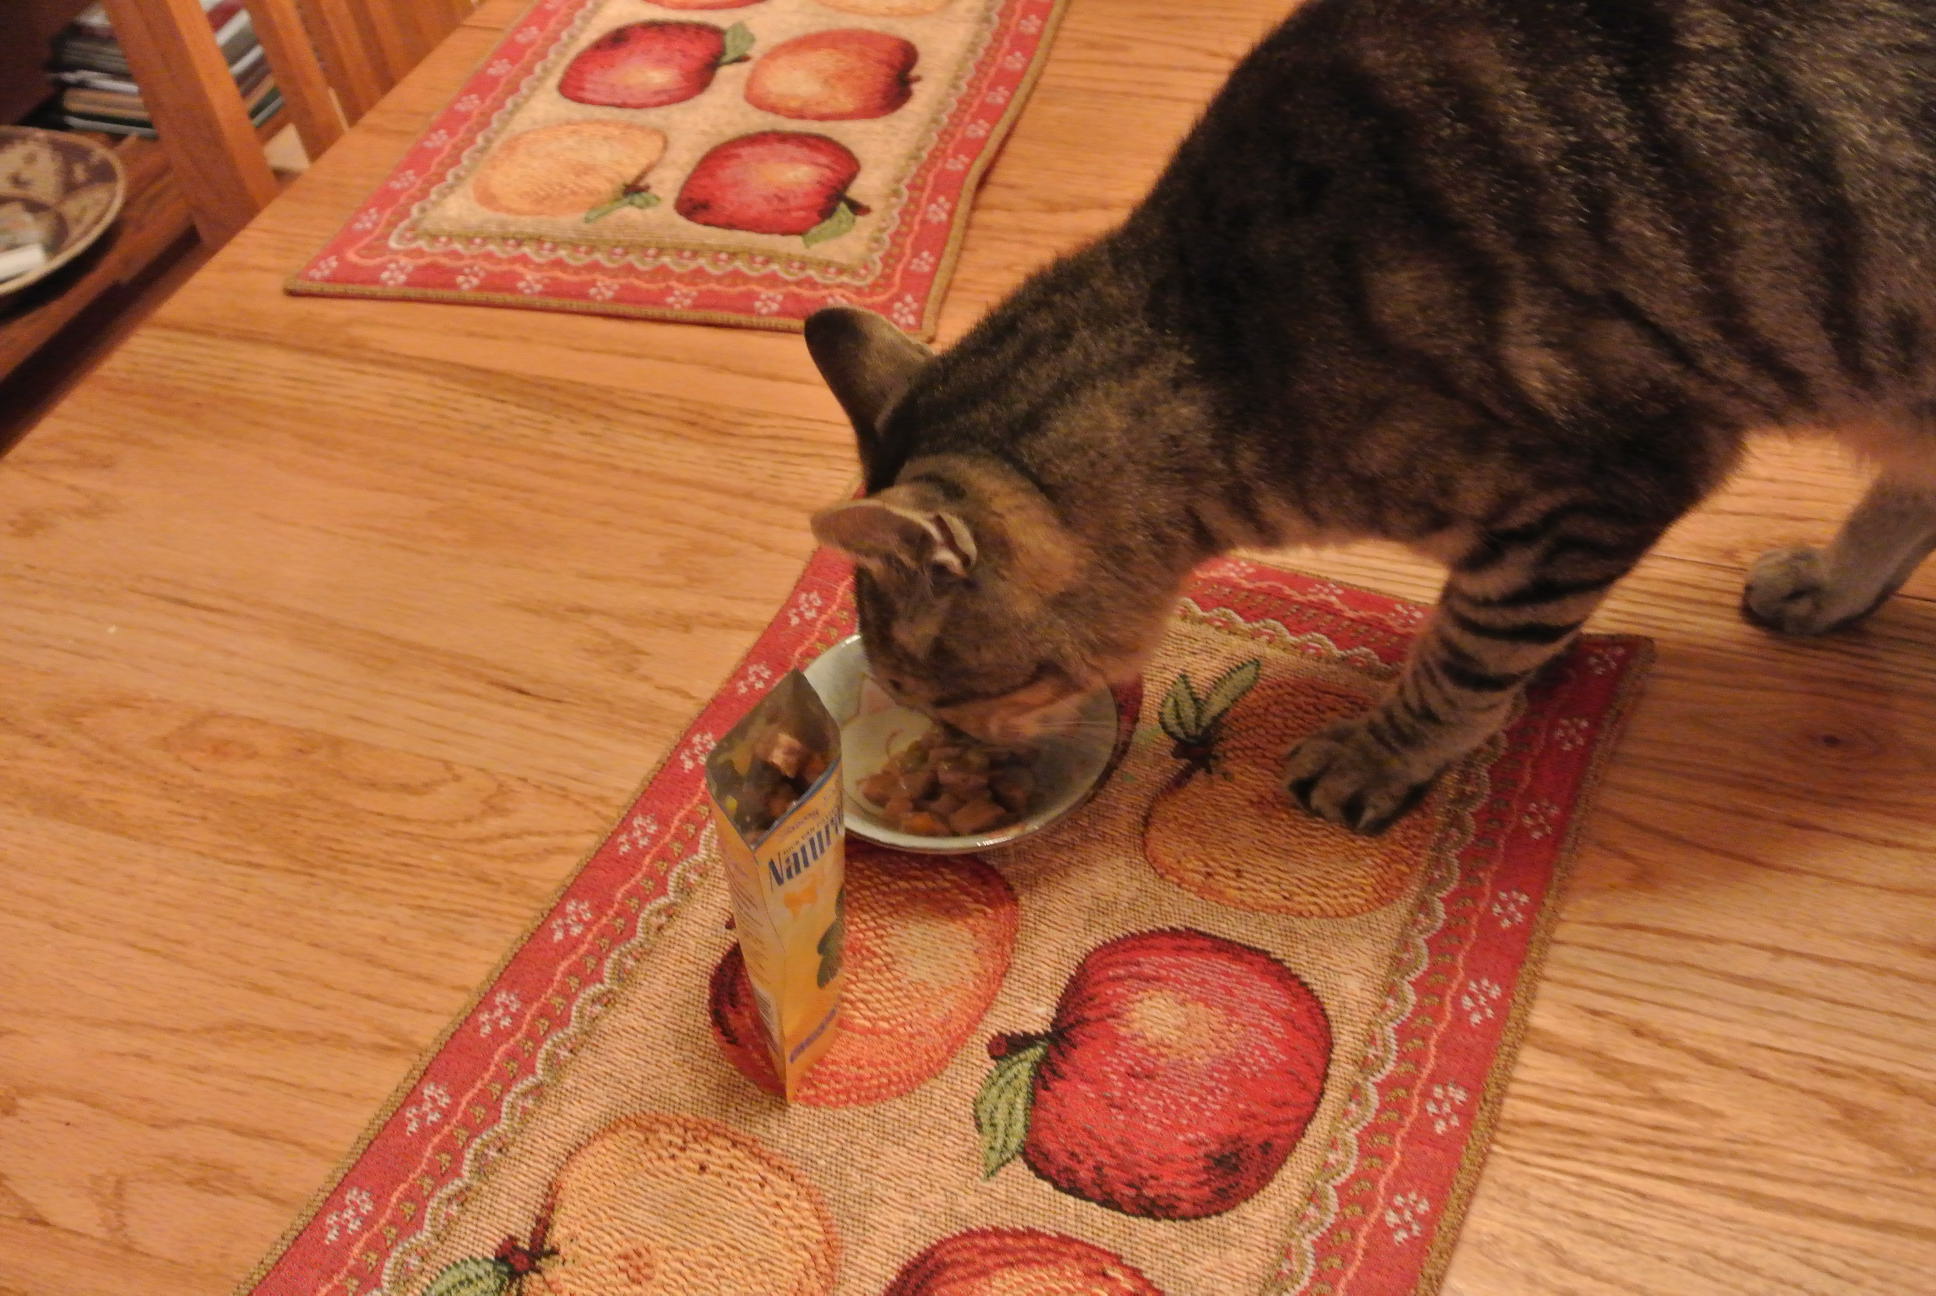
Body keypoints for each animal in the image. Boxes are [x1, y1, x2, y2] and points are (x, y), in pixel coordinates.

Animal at [803, 0, 1936, 836]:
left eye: (933, 692)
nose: (950, 743)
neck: (1217, 346)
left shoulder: (1596, 490)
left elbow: (1464, 656)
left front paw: (1381, 754)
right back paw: (1825, 587)